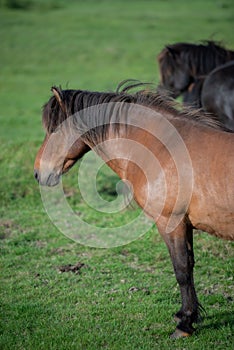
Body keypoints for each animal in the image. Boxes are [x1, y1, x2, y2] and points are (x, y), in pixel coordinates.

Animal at [33, 83, 233, 338]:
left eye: (54, 129)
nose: (38, 172)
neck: (164, 148)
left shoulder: (171, 223)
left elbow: (181, 270)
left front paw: (184, 324)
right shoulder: (185, 225)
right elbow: (189, 265)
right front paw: (185, 315)